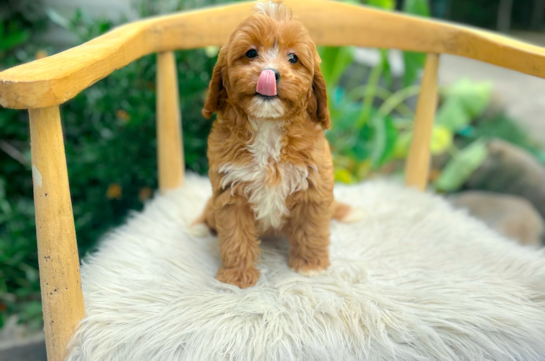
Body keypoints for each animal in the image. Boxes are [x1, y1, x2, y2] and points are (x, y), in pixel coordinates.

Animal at [194, 0, 356, 286]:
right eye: (250, 53)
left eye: (293, 58)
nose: (270, 73)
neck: (268, 127)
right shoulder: (229, 189)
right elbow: (235, 235)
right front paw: (237, 276)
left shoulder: (314, 184)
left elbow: (311, 228)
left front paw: (311, 265)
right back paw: (202, 226)